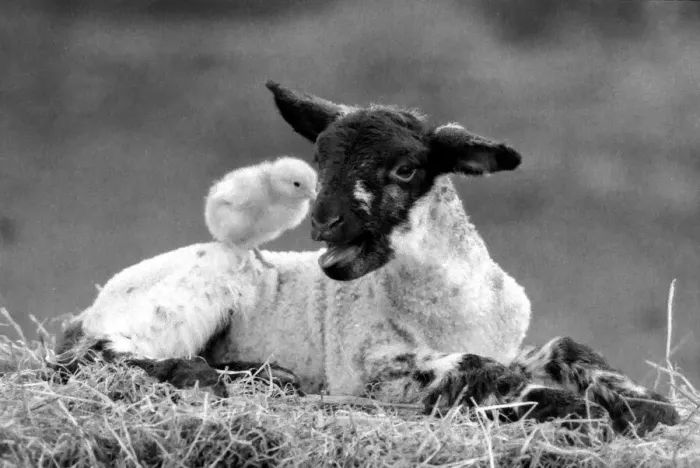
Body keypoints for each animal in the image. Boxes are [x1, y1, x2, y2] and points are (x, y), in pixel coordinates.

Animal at [54, 81, 679, 438]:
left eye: (405, 169)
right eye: (318, 161)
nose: (323, 221)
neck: (449, 309)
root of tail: (94, 302)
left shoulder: (513, 342)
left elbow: (566, 348)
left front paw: (648, 407)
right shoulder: (371, 373)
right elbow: (474, 368)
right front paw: (576, 410)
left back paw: (265, 377)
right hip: (187, 292)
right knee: (87, 357)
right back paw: (196, 374)